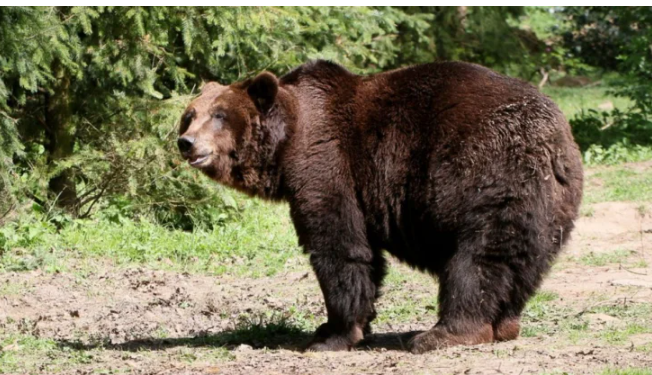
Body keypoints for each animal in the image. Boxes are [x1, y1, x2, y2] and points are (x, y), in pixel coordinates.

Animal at [176, 60, 584, 354]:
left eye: (219, 115)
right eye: (190, 115)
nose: (186, 142)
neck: (287, 142)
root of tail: (554, 138)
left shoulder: (328, 164)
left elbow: (339, 247)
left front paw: (333, 335)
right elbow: (367, 258)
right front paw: (340, 325)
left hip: (486, 171)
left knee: (478, 258)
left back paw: (443, 333)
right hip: (550, 205)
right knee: (523, 261)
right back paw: (504, 325)